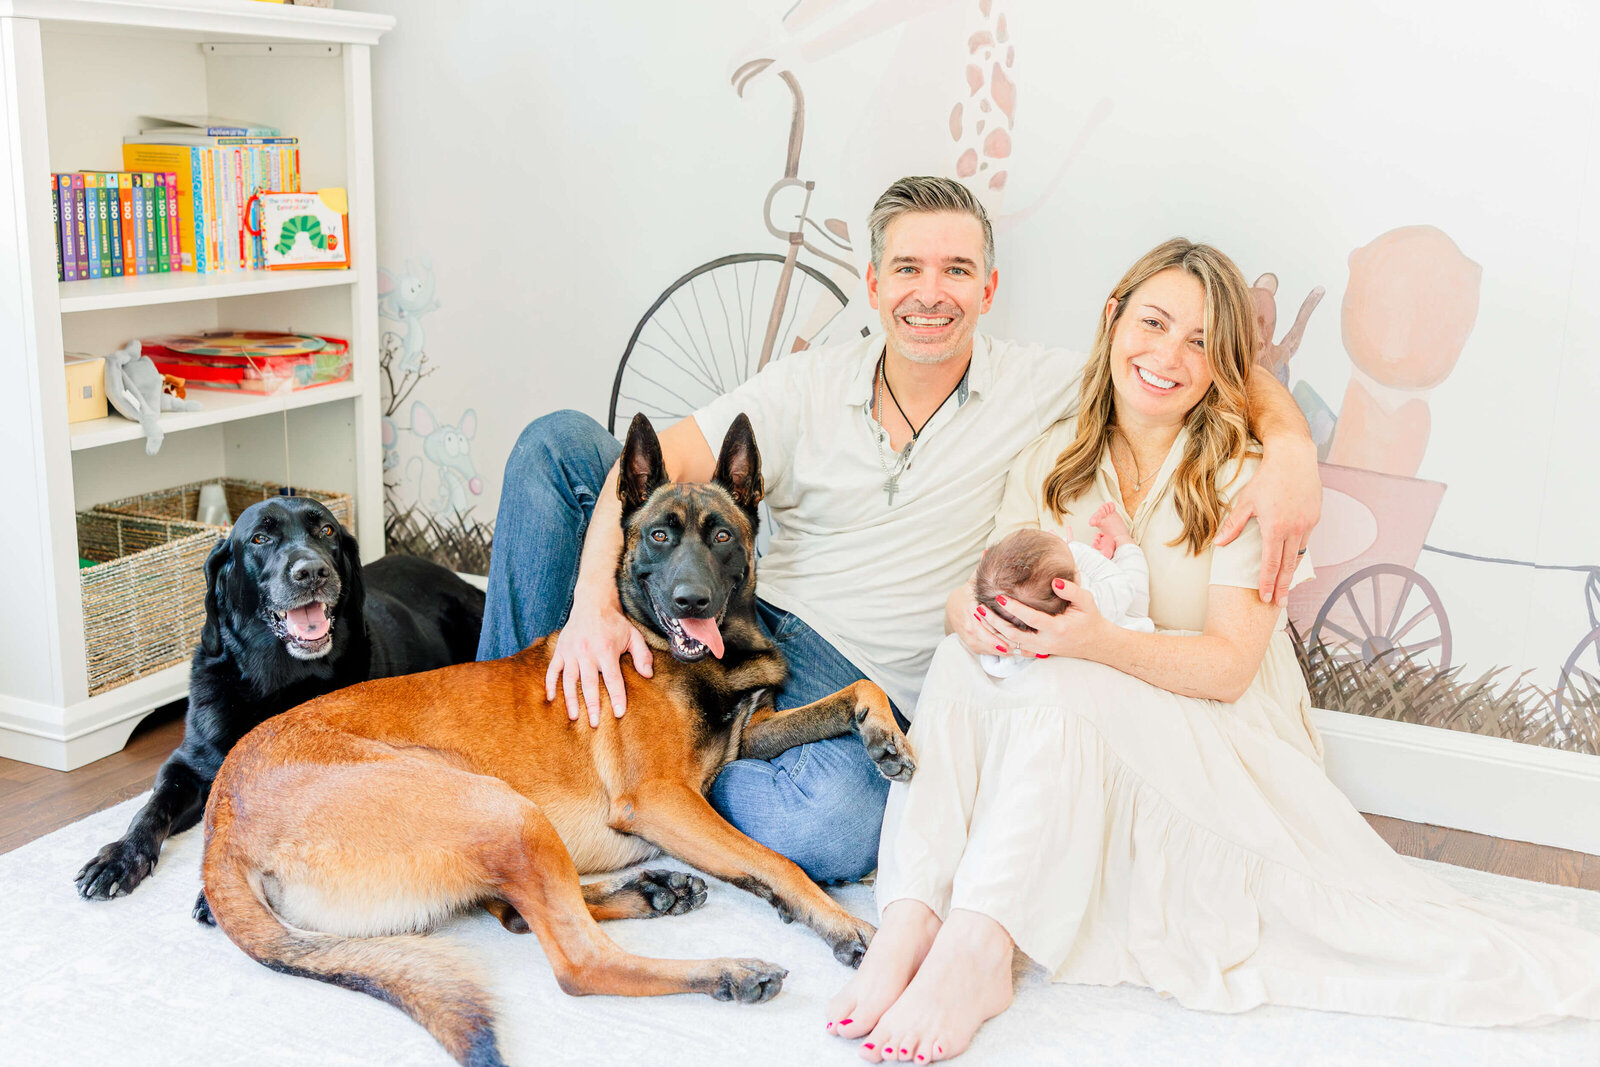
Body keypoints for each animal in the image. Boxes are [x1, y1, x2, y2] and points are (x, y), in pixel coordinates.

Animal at [75, 495, 483, 908]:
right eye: (260, 537)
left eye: (327, 530)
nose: (313, 572)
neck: (280, 682)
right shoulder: (187, 766)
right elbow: (152, 807)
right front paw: (120, 857)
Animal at [203, 415, 915, 1067]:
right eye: (659, 535)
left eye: (722, 536)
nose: (691, 601)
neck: (687, 652)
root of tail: (221, 821)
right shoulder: (660, 798)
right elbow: (778, 862)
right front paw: (845, 924)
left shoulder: (748, 740)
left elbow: (859, 687)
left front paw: (887, 737)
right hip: (502, 808)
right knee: (578, 962)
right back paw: (725, 969)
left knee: (519, 914)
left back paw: (654, 891)